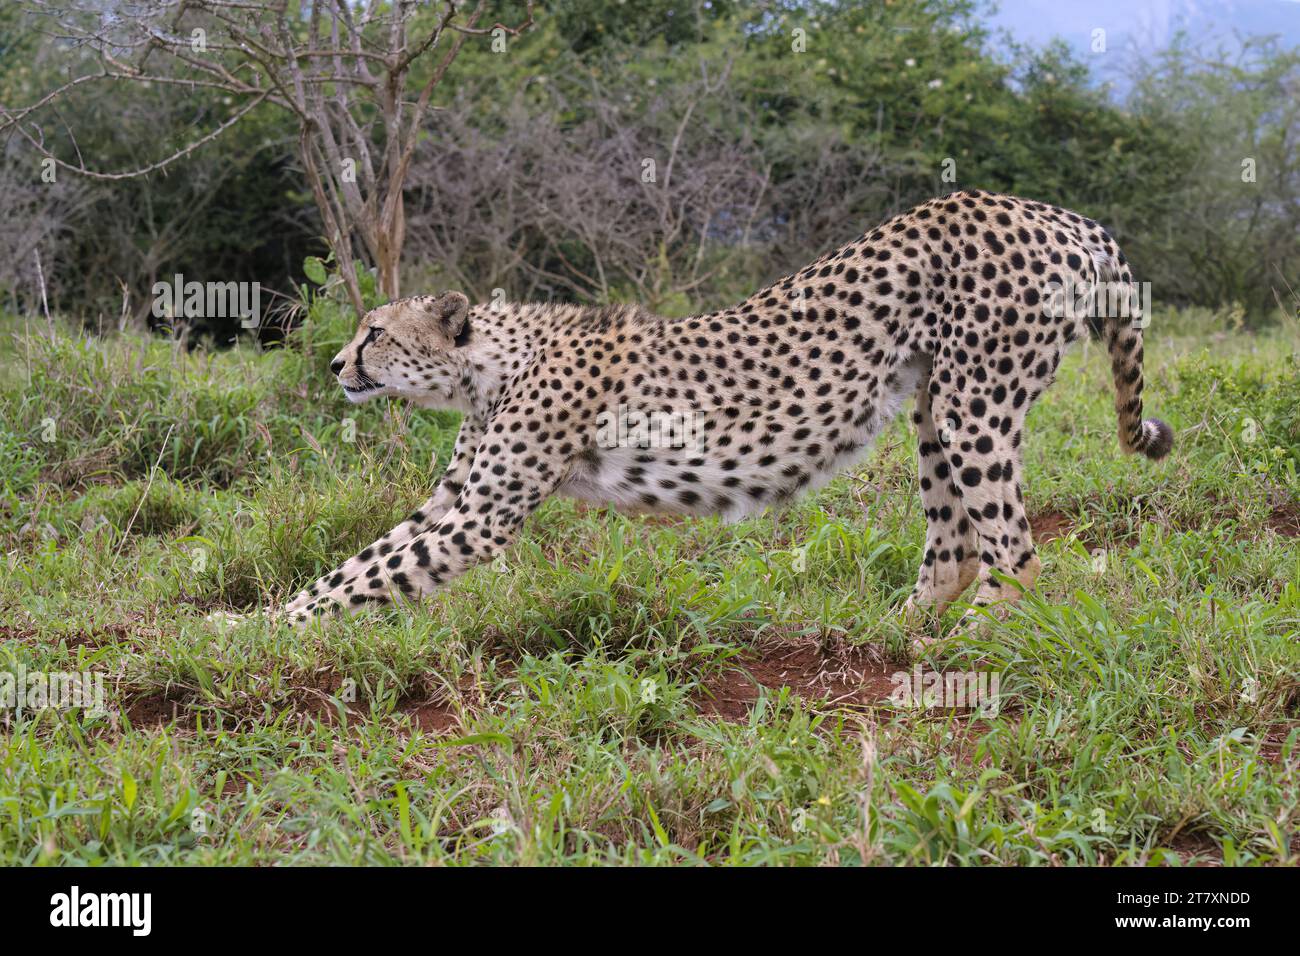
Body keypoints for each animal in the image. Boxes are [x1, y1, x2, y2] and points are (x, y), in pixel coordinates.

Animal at [279, 191, 1175, 647]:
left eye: (375, 334)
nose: (334, 365)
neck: (491, 365)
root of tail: (1055, 211)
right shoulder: (455, 502)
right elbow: (354, 566)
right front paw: (257, 623)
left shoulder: (481, 517)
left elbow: (370, 577)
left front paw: (259, 637)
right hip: (934, 404)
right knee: (956, 545)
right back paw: (898, 631)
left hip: (975, 403)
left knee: (1018, 552)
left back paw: (967, 645)